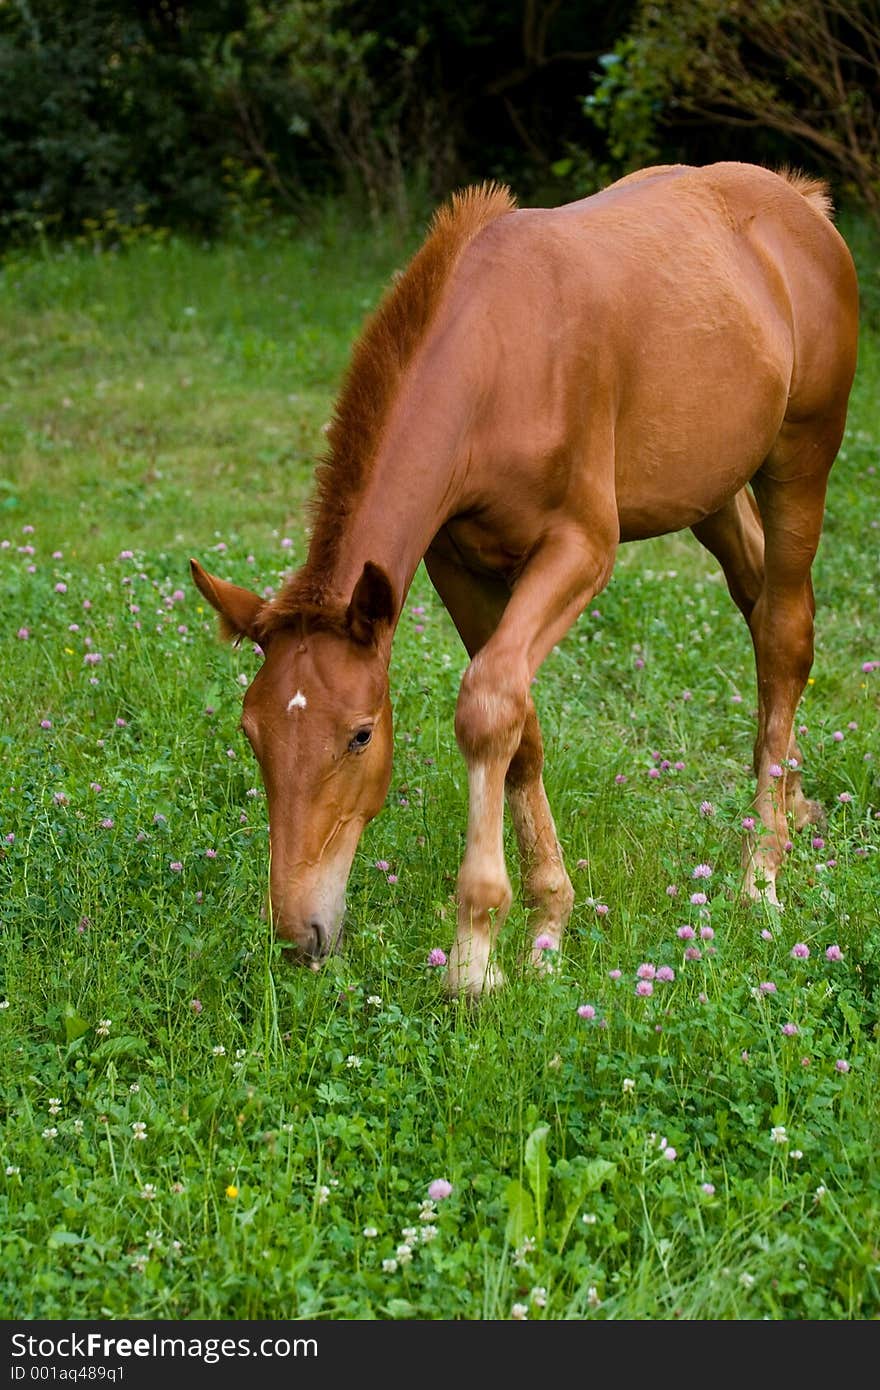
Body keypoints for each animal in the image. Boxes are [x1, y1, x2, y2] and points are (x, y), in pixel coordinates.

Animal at [189, 157, 856, 995]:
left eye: (360, 735)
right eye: (252, 731)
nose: (299, 935)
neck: (498, 358)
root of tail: (801, 203)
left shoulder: (582, 548)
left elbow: (487, 705)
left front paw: (475, 956)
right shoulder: (457, 564)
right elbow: (519, 722)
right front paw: (546, 924)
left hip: (800, 461)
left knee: (784, 633)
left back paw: (760, 872)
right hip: (713, 491)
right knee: (761, 600)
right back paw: (796, 809)